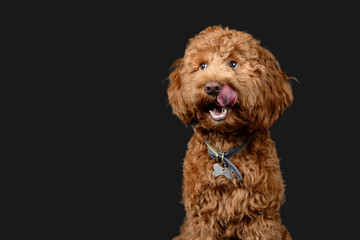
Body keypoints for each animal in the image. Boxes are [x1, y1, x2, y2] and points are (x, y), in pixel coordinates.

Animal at [167, 25, 294, 239]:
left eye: (233, 64)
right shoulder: (200, 219)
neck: (225, 149)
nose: (212, 87)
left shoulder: (261, 219)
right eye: (202, 66)